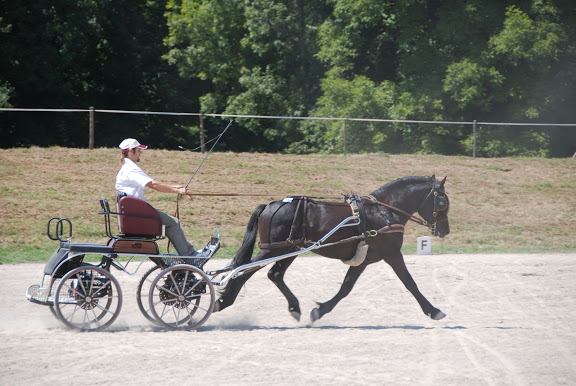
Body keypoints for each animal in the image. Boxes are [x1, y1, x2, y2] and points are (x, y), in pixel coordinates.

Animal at [212, 175, 450, 322]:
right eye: (443, 203)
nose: (444, 231)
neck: (384, 211)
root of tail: (271, 205)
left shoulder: (364, 259)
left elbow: (346, 287)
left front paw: (320, 310)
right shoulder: (392, 254)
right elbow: (410, 283)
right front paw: (433, 310)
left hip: (289, 249)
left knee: (274, 274)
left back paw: (294, 307)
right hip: (273, 250)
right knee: (243, 272)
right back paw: (223, 301)